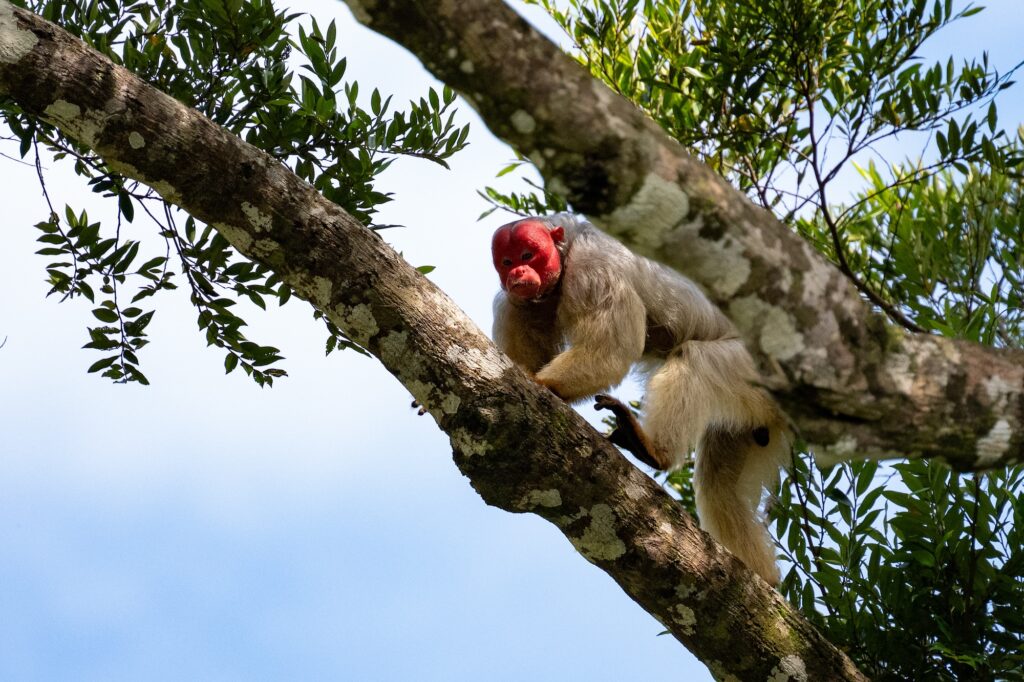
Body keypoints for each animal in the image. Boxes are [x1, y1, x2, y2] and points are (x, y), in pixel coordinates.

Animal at [491, 213, 791, 585]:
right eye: (507, 261)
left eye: (528, 255)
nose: (517, 273)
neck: (563, 256)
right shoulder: (515, 303)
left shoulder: (594, 270)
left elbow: (613, 349)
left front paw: (540, 382)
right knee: (719, 485)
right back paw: (766, 579)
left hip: (762, 371)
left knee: (696, 358)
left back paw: (653, 448)